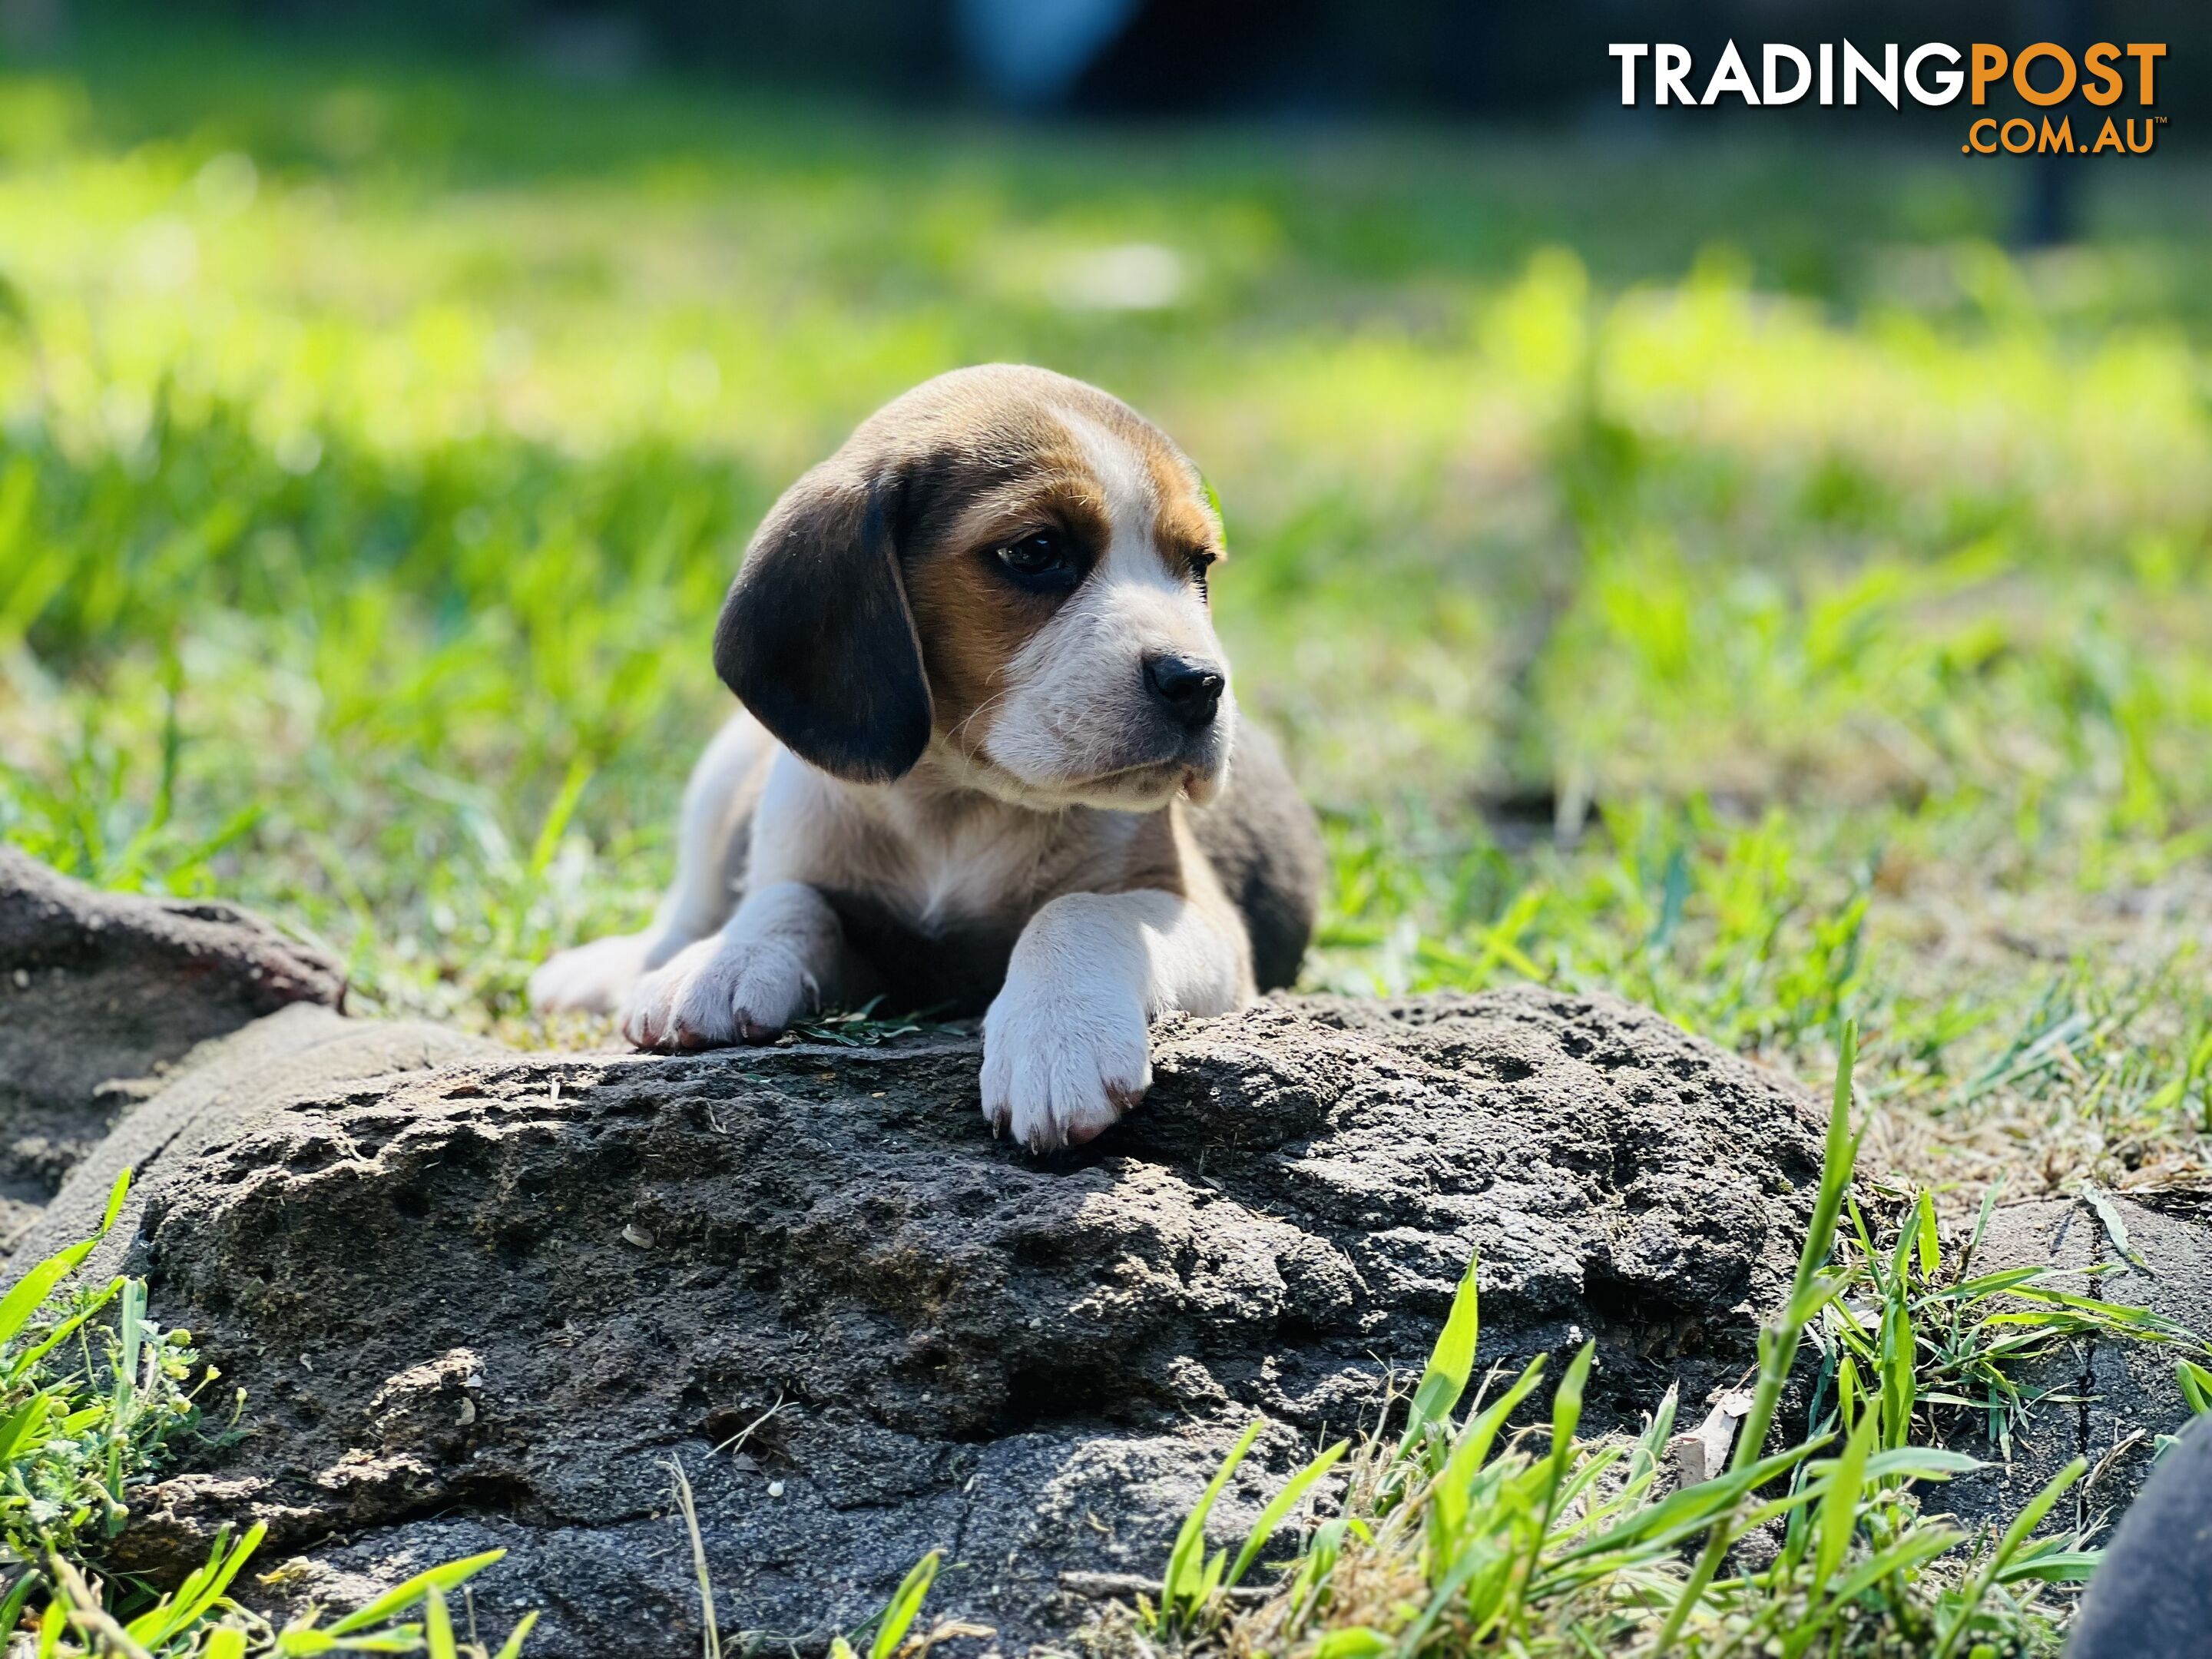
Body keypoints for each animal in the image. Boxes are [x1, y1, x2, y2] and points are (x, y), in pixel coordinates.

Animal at [526, 360, 1318, 1159]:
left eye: (1199, 565)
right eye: (1036, 552)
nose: (1201, 683)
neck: (959, 801)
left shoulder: (1206, 921)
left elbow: (1081, 910)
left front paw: (1057, 1038)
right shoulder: (866, 945)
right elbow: (787, 898)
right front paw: (725, 962)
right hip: (722, 770)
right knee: (687, 906)